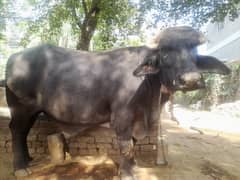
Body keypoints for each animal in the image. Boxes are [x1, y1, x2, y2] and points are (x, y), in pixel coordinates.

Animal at [2, 26, 230, 178]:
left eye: (195, 55)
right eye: (165, 54)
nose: (191, 79)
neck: (148, 85)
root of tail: (15, 57)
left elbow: (134, 143)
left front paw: (133, 167)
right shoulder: (122, 117)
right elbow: (126, 145)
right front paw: (127, 173)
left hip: (31, 111)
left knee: (24, 132)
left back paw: (28, 160)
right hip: (21, 107)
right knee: (17, 131)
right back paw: (20, 167)